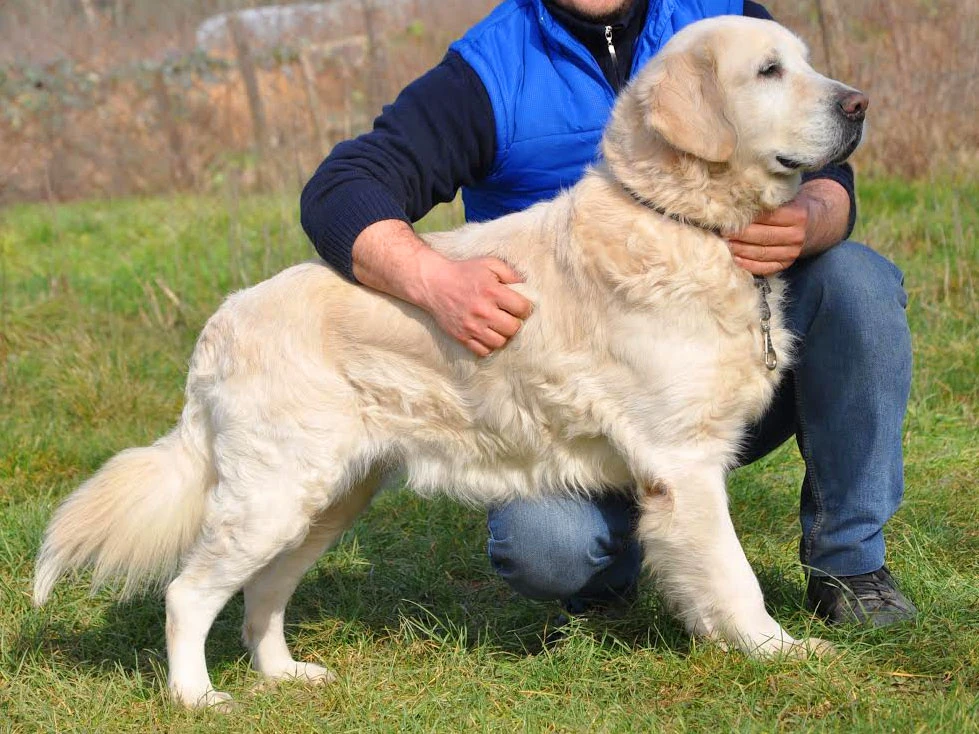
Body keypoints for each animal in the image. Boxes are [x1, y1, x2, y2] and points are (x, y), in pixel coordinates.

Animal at [34, 15, 868, 708]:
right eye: (768, 71)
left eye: (805, 62)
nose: (858, 104)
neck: (682, 222)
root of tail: (222, 320)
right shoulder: (683, 463)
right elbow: (732, 574)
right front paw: (776, 651)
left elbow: (706, 577)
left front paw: (724, 645)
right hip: (274, 496)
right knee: (188, 594)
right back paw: (196, 698)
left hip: (326, 501)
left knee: (261, 594)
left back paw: (284, 674)